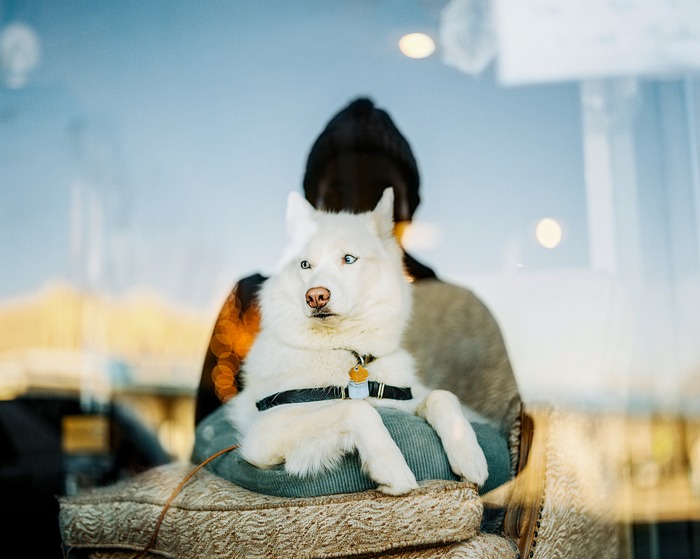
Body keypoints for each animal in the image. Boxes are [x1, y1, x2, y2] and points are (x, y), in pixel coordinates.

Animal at [227, 190, 490, 496]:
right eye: (305, 265)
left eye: (349, 259)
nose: (315, 296)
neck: (345, 351)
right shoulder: (263, 436)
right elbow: (356, 409)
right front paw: (392, 468)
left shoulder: (402, 396)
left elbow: (442, 395)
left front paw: (470, 456)